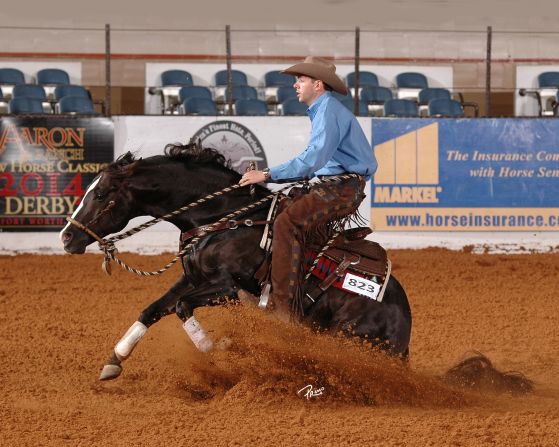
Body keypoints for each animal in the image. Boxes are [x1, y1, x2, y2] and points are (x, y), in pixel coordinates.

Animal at [60, 143, 412, 382]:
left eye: (102, 193)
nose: (66, 237)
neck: (222, 219)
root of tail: (404, 327)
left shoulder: (229, 287)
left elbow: (182, 308)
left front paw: (223, 348)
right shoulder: (193, 279)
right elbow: (153, 309)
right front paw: (115, 359)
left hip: (349, 337)